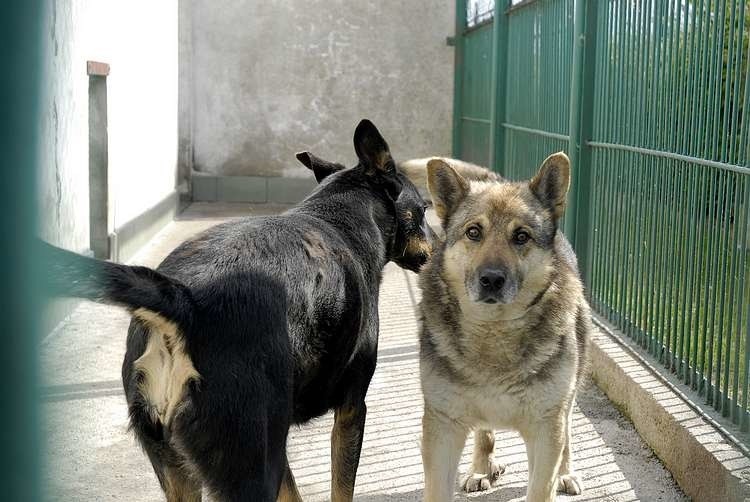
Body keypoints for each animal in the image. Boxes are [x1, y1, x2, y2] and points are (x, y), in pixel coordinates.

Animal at [44, 121, 434, 502]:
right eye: (425, 209)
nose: (438, 241)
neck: (338, 216)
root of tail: (185, 302)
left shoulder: (281, 440)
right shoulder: (352, 408)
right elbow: (342, 488)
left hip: (182, 467)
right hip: (250, 463)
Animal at [406, 154, 592, 502]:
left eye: (521, 236)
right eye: (473, 232)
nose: (491, 279)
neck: (494, 331)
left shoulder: (546, 429)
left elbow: (541, 485)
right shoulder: (443, 429)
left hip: (569, 394)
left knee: (568, 431)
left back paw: (566, 472)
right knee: (485, 433)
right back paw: (481, 469)